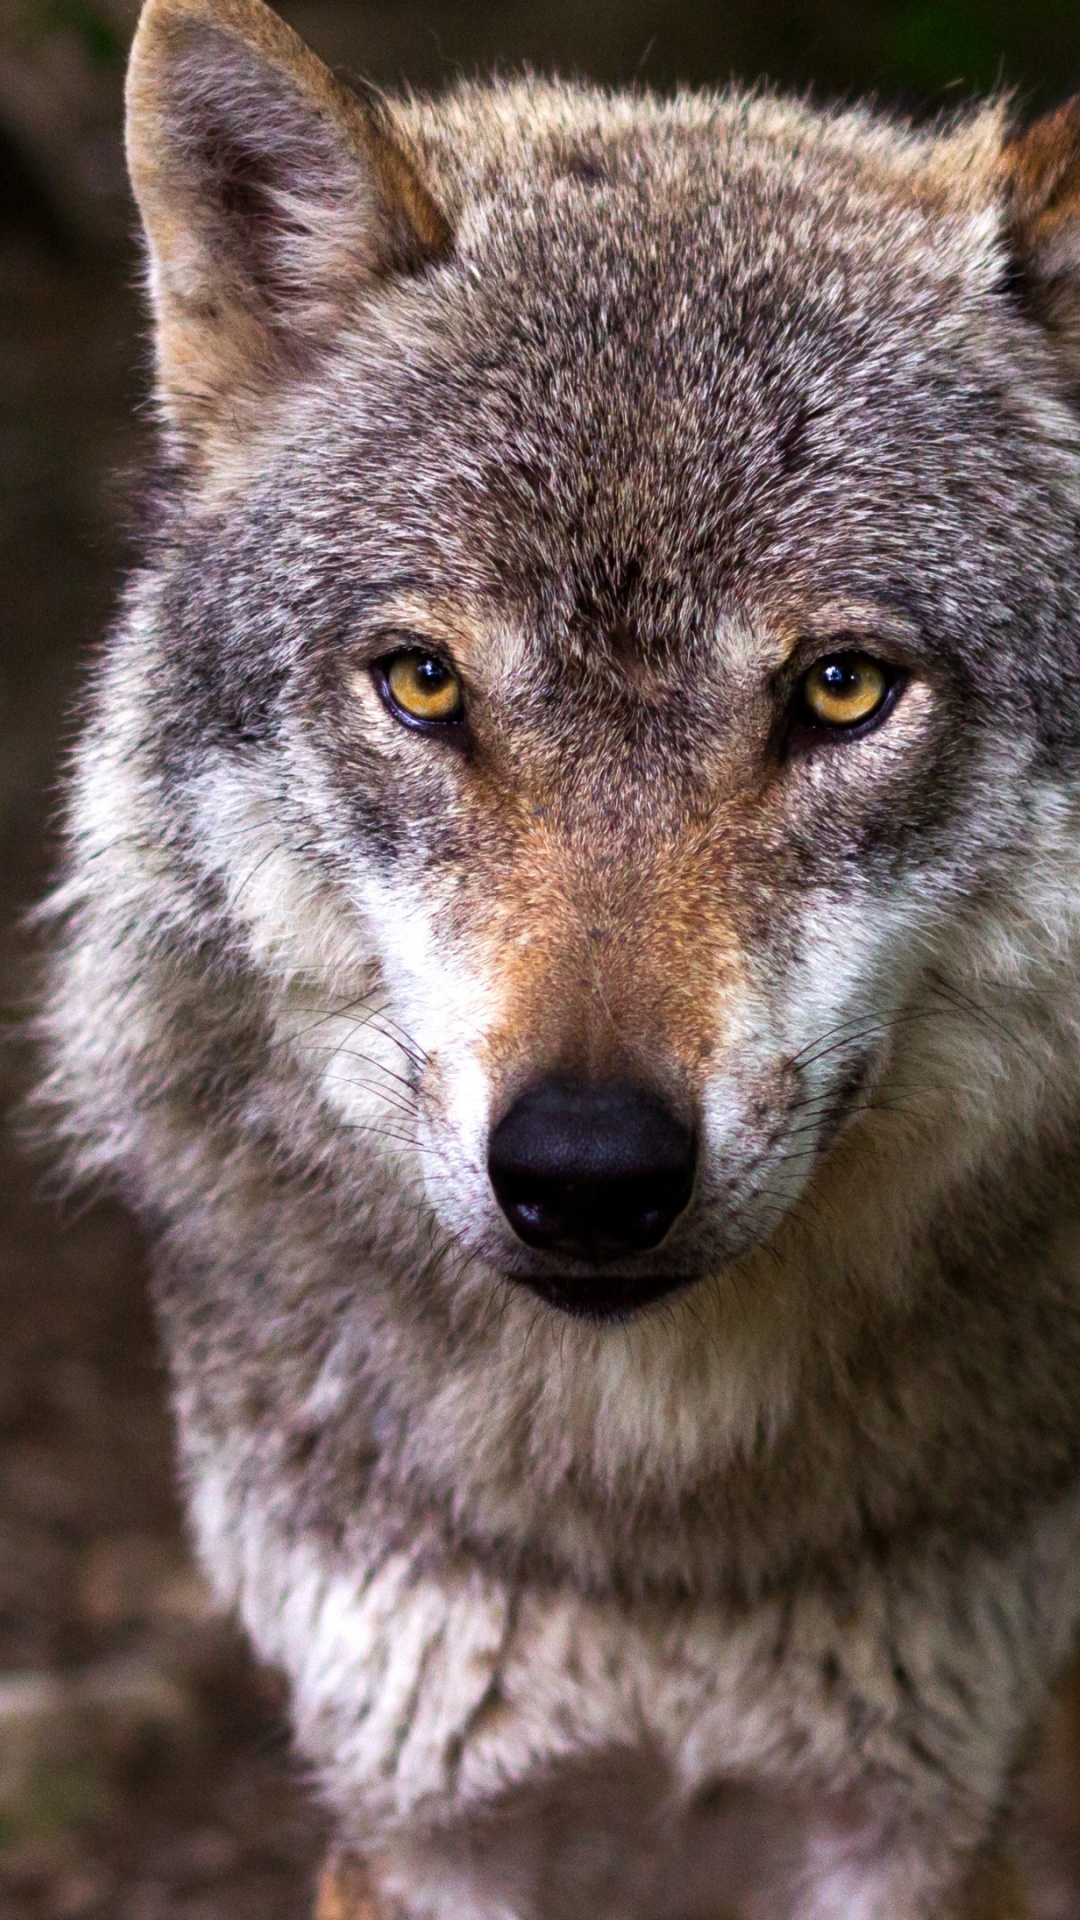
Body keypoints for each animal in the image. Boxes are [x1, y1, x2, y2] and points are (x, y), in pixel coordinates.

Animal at [35, 0, 1080, 1909]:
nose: (589, 1172)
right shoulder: (417, 1812)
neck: (644, 1534)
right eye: (424, 682)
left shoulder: (922, 1815)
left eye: (843, 689)